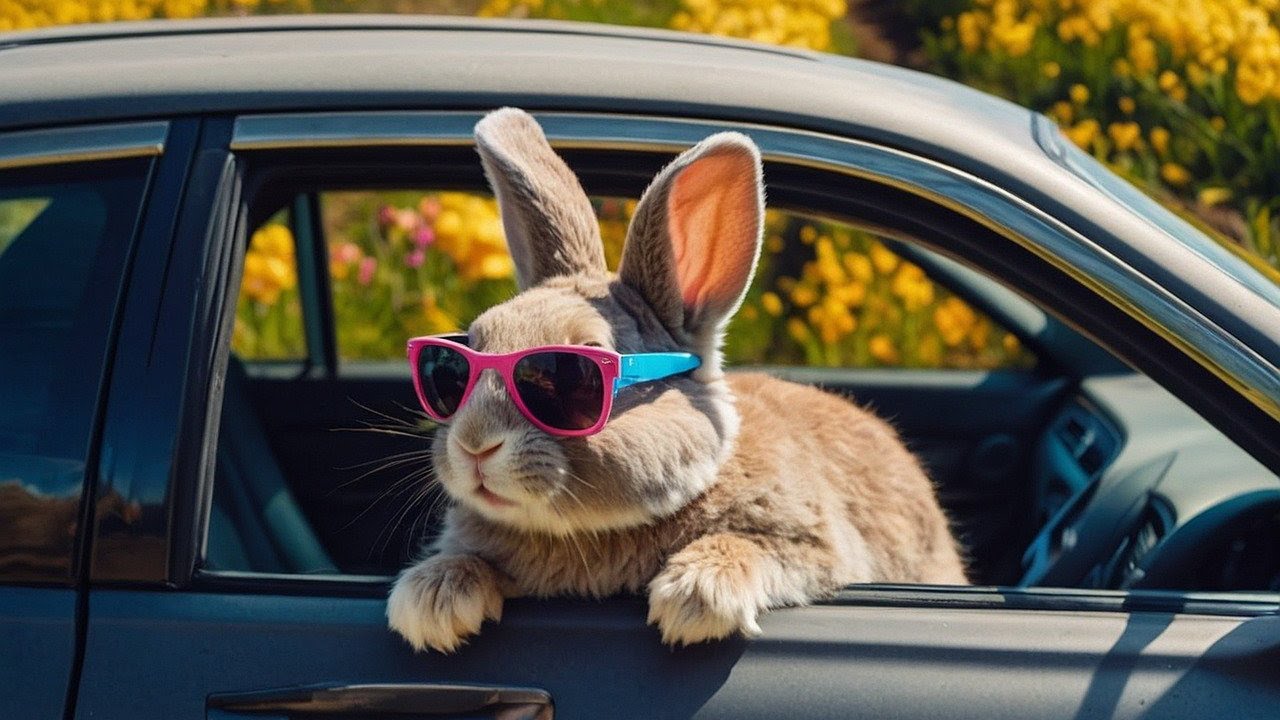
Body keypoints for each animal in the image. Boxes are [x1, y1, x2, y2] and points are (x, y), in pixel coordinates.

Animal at [386, 107, 968, 653]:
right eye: (457, 363)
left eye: (568, 374)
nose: (474, 445)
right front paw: (430, 603)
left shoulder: (813, 543)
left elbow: (757, 546)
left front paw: (696, 600)